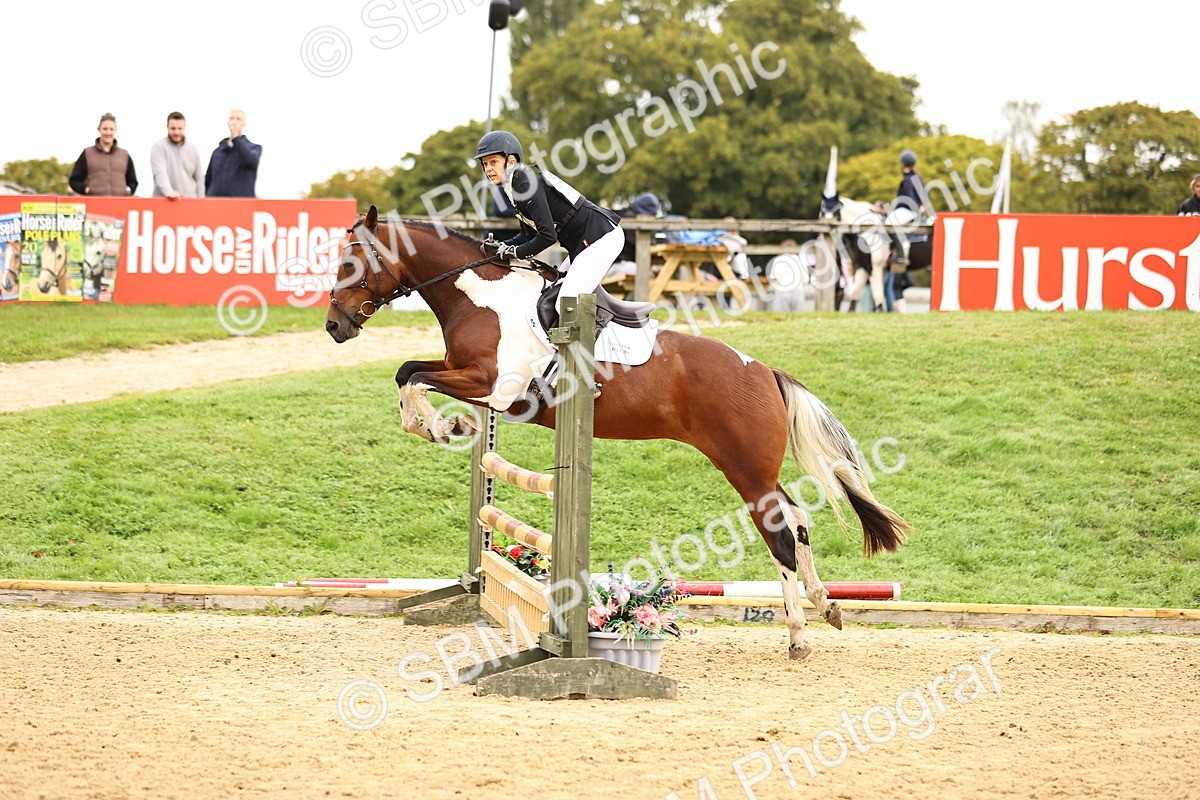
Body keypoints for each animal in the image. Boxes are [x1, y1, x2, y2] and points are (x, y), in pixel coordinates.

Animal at [324, 206, 911, 661]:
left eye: (352, 261)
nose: (335, 326)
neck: (481, 299)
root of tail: (763, 370)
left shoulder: (494, 387)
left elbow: (410, 376)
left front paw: (442, 426)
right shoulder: (467, 376)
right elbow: (409, 373)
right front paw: (449, 425)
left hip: (745, 469)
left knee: (781, 534)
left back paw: (797, 635)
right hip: (751, 467)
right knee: (797, 518)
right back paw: (825, 604)